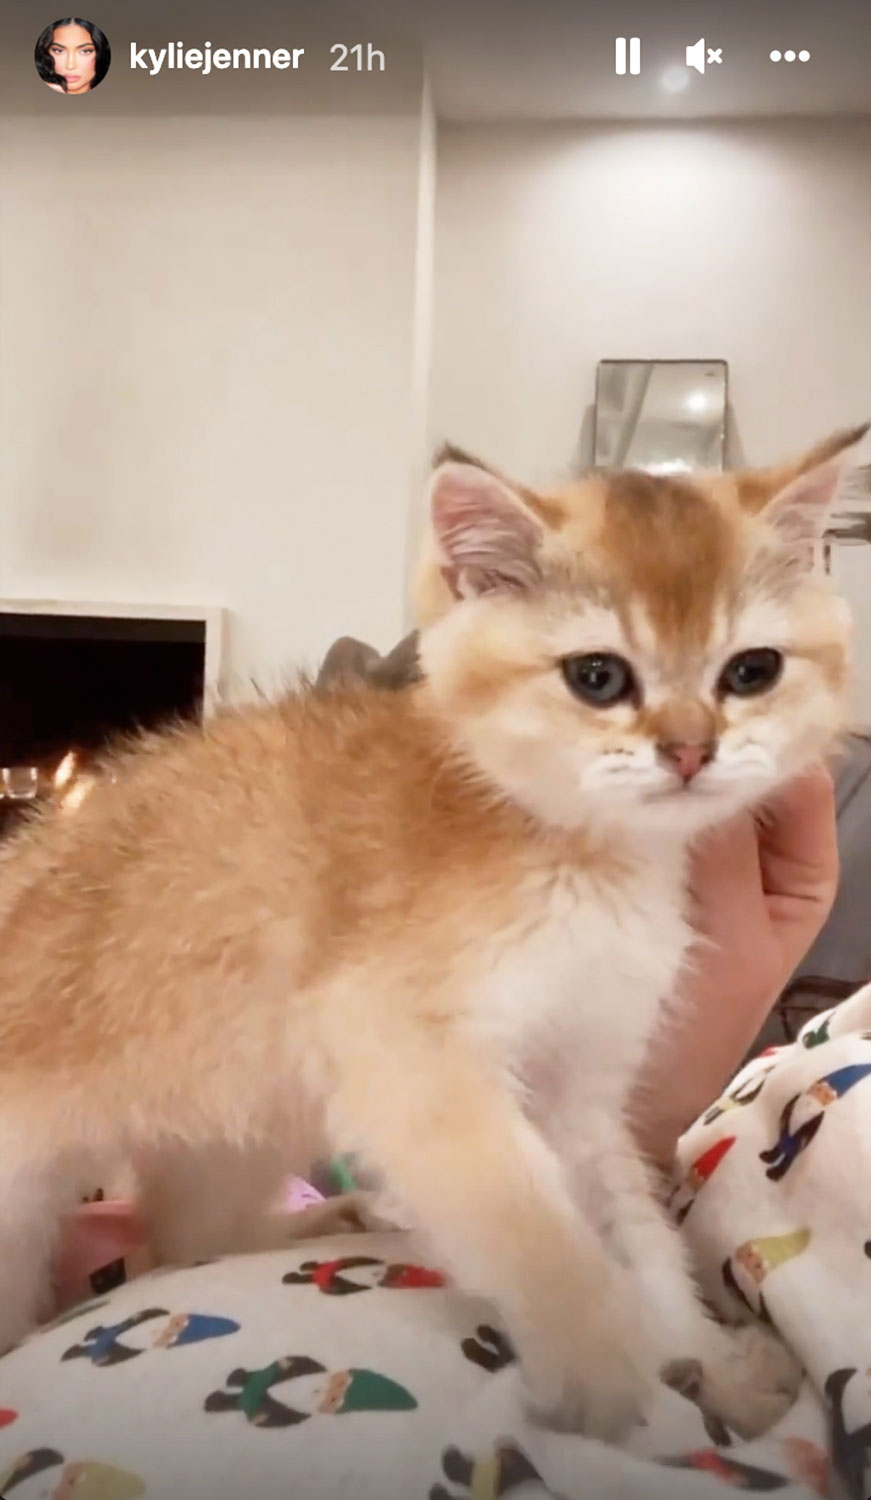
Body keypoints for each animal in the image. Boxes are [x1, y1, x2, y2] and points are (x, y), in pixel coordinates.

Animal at [0, 423, 866, 1444]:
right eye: (598, 677)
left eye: (751, 671)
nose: (691, 750)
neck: (582, 858)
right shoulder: (409, 1063)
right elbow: (537, 1232)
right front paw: (606, 1372)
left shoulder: (577, 1089)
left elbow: (637, 1240)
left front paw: (708, 1363)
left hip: (233, 1126)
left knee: (180, 1241)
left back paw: (315, 1223)